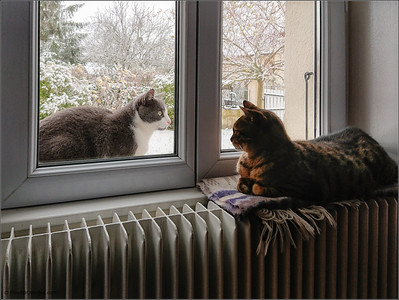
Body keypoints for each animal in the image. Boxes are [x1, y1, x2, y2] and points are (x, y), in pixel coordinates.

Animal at [230, 99, 398, 207]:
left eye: (237, 131)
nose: (231, 138)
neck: (252, 158)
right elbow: (240, 181)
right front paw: (244, 183)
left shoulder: (303, 188)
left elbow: (258, 187)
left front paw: (252, 185)